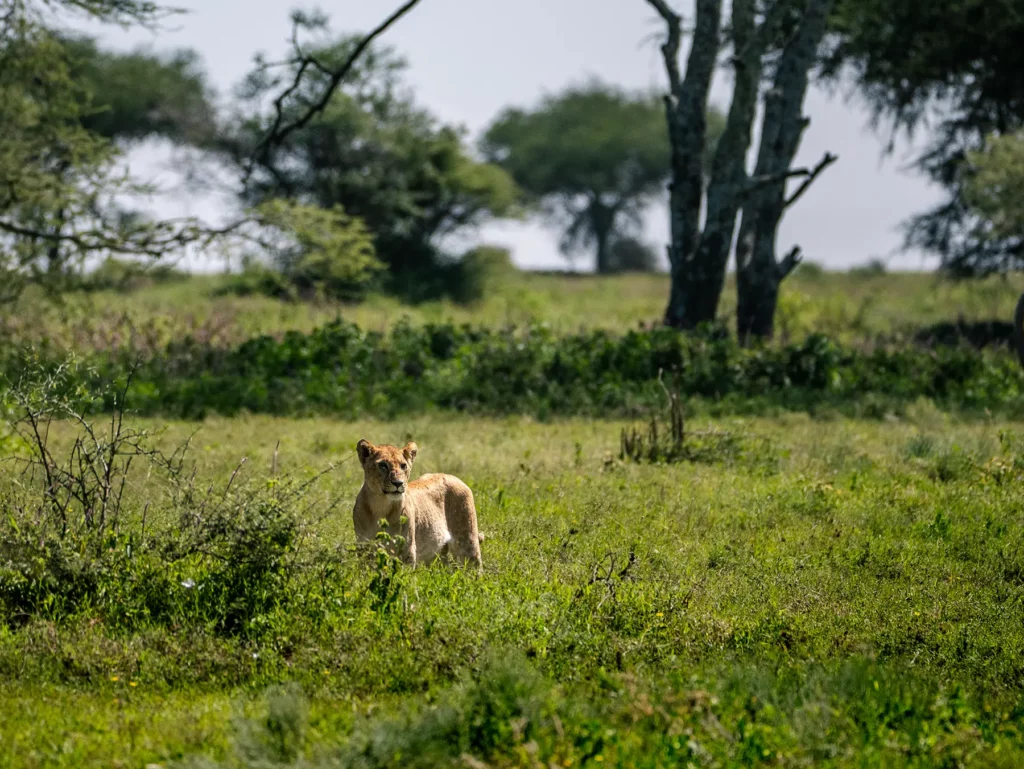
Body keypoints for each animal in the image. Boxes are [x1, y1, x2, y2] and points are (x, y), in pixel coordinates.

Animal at [353, 438, 483, 569]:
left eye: (403, 465)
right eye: (383, 465)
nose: (398, 483)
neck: (381, 505)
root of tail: (453, 477)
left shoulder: (407, 549)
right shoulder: (364, 547)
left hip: (467, 543)